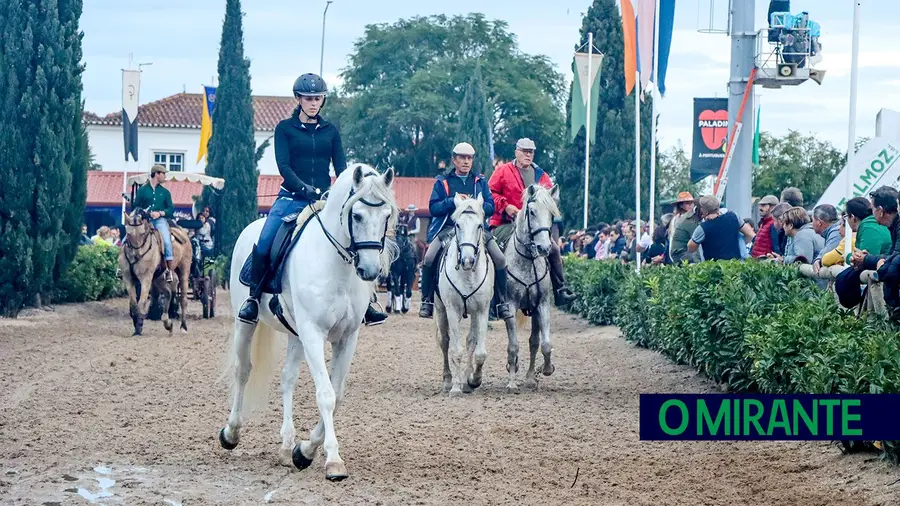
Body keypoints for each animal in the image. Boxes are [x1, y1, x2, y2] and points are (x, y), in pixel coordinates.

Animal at [216, 165, 396, 482]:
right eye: (357, 215)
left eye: (386, 215)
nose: (370, 269)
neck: (336, 266)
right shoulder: (313, 333)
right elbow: (325, 394)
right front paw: (333, 460)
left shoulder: (347, 338)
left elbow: (338, 394)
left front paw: (304, 451)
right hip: (247, 323)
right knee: (243, 370)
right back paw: (231, 433)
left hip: (295, 334)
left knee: (287, 378)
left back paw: (287, 446)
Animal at [434, 194, 496, 396]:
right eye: (457, 225)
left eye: (479, 225)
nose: (467, 260)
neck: (468, 274)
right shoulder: (452, 309)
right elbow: (455, 350)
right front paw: (455, 387)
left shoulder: (482, 310)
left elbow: (479, 350)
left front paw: (474, 380)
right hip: (441, 309)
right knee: (445, 341)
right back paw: (448, 381)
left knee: (470, 341)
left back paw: (467, 382)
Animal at [500, 185, 564, 392]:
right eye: (532, 212)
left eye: (551, 214)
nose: (544, 247)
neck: (527, 260)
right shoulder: (510, 305)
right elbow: (513, 345)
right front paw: (512, 381)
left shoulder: (541, 305)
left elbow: (543, 343)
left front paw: (543, 370)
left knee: (533, 342)